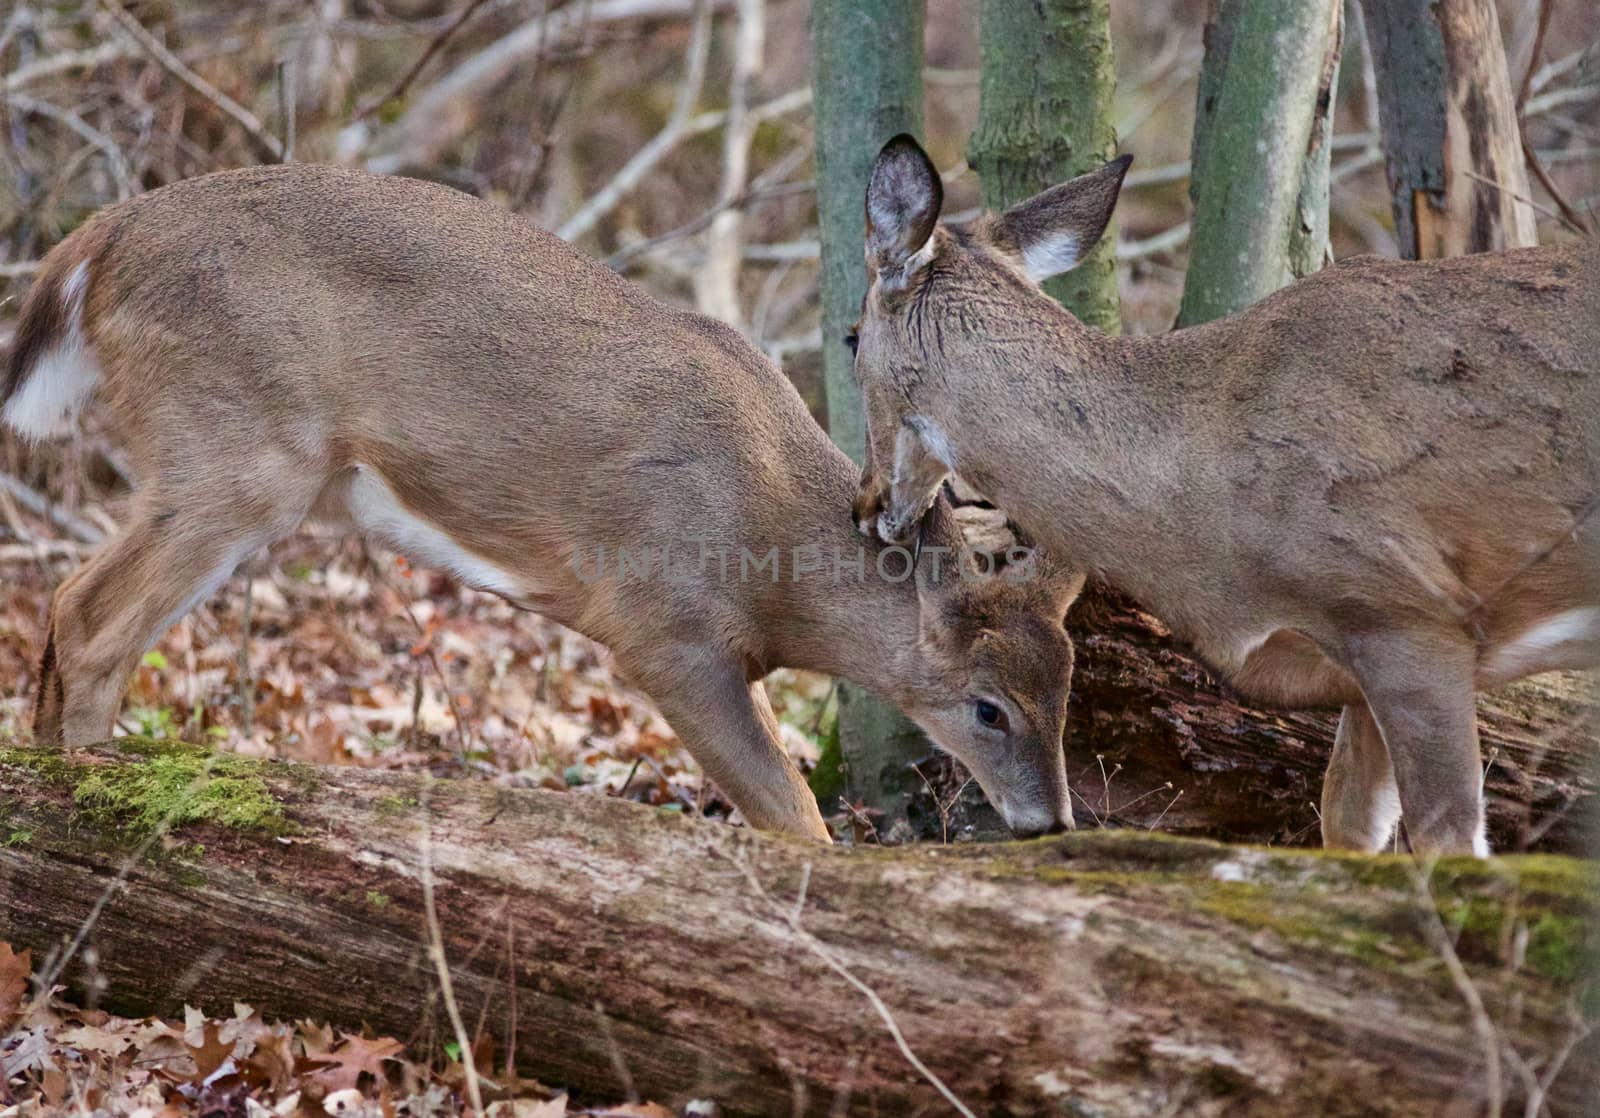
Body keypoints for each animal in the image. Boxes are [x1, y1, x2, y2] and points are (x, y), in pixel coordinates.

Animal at [3, 161, 1088, 844]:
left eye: (1069, 688)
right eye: (987, 706)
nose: (1051, 820)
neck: (776, 564)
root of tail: (96, 241)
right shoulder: (662, 628)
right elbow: (796, 820)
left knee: (73, 614)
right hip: (237, 443)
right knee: (86, 615)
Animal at [844, 135, 1593, 863]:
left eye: (851, 339)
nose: (864, 505)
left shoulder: (1408, 611)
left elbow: (1449, 842)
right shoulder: (1360, 661)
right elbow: (1349, 828)